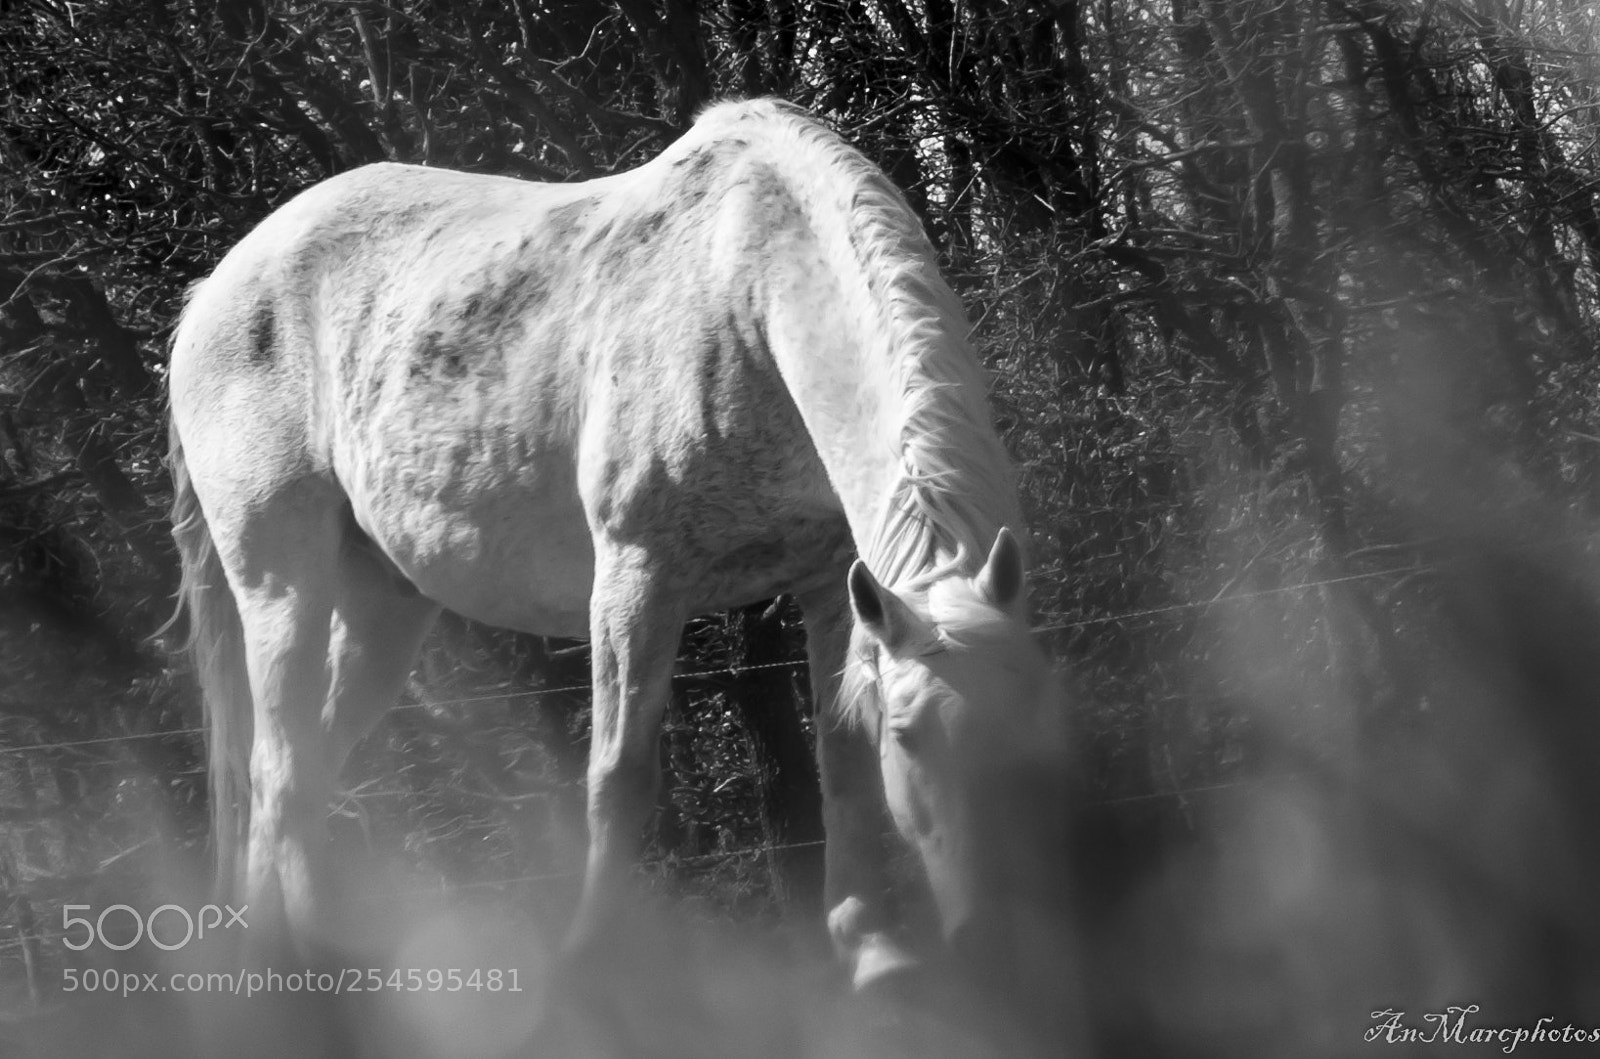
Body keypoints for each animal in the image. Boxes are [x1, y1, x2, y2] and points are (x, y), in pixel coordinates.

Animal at [167, 97, 1067, 997]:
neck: (747, 295)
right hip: (282, 585)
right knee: (280, 768)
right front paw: (594, 964)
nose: (993, 937)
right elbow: (620, 776)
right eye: (911, 736)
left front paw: (875, 952)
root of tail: (214, 289)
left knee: (306, 769)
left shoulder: (832, 589)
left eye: (1030, 721)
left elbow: (841, 760)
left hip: (386, 603)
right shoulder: (638, 583)